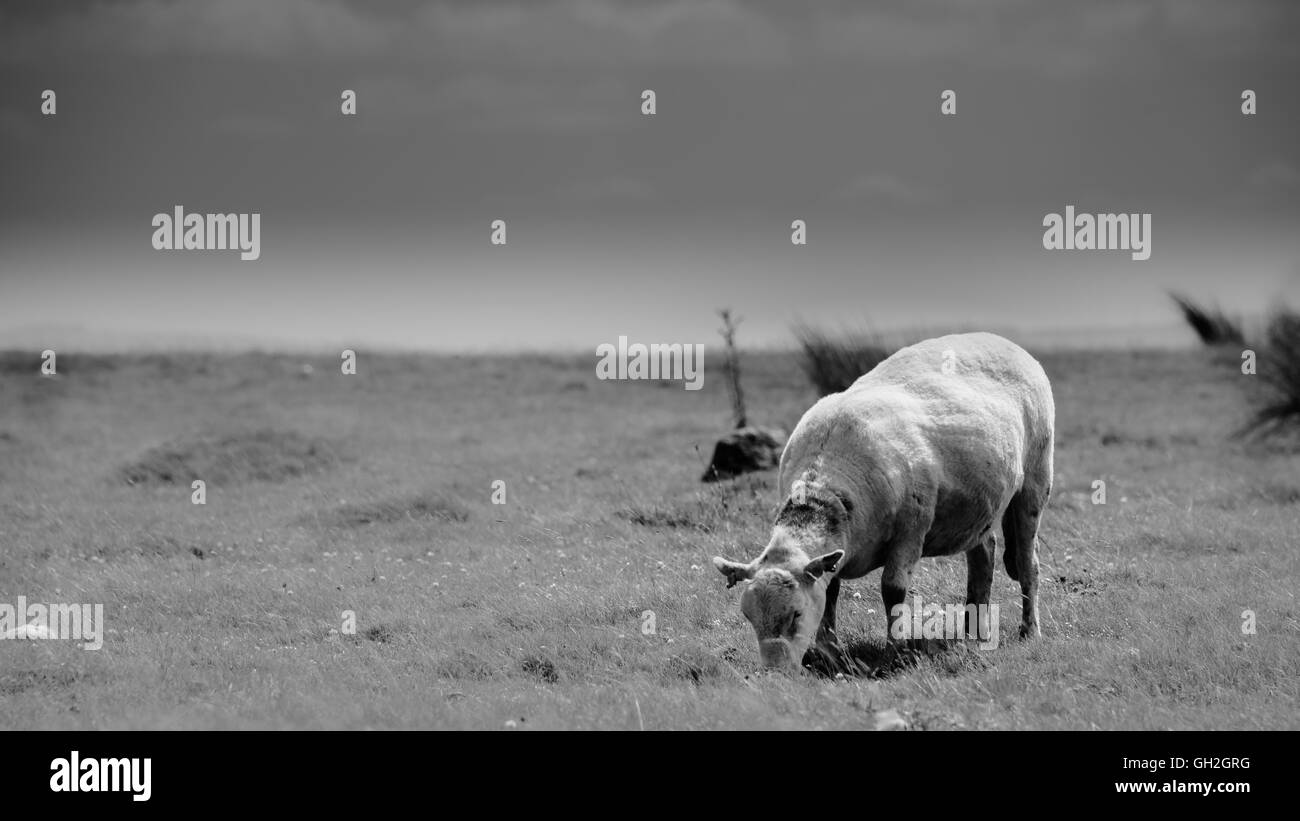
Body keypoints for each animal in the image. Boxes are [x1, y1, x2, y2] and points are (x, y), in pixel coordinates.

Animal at [717, 329, 1050, 670]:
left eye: (796, 614)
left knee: (1028, 563)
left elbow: (892, 590)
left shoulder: (911, 530)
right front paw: (830, 652)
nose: (776, 671)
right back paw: (975, 632)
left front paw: (895, 650)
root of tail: (998, 339)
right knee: (983, 556)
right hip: (980, 506)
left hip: (1036, 478)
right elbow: (831, 593)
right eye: (749, 618)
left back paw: (1029, 630)